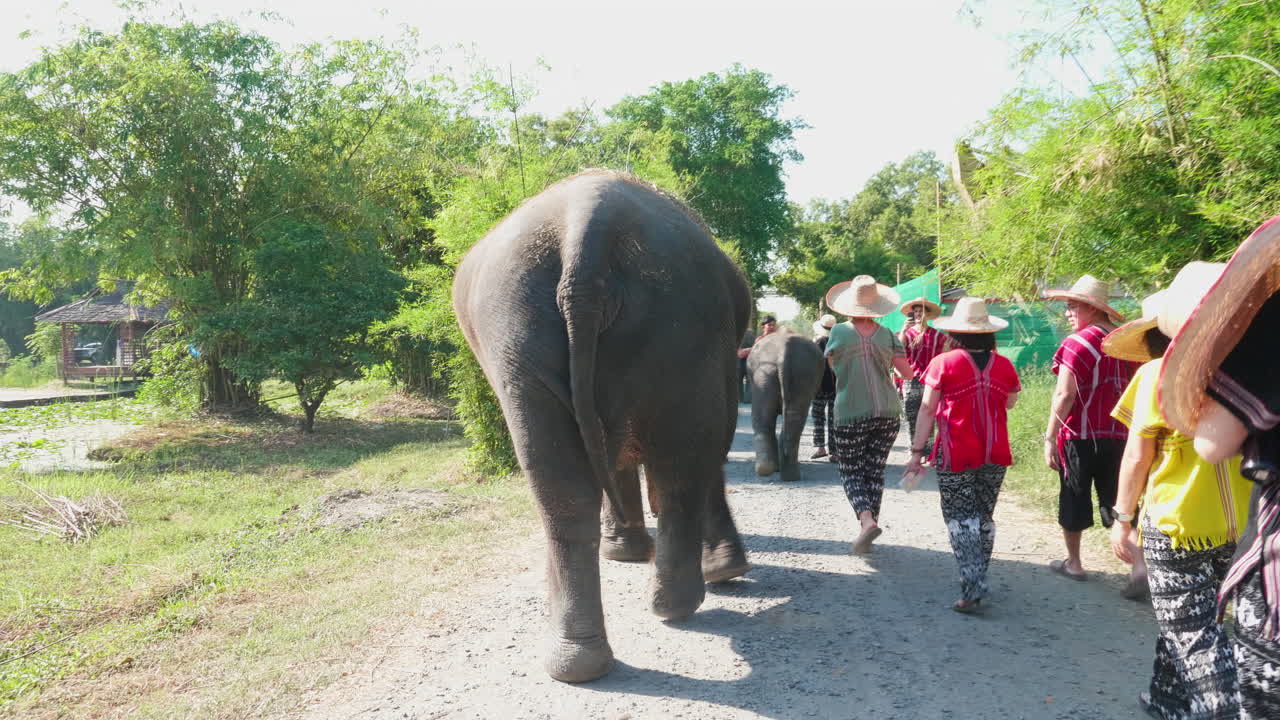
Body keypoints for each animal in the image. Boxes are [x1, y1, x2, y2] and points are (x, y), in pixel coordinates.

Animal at [452, 170, 751, 683]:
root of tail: (586, 226)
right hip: (675, 327)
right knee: (682, 469)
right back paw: (676, 604)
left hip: (523, 334)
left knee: (565, 489)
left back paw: (580, 661)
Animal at [747, 330, 824, 483]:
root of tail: (783, 351)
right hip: (790, 373)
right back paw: (777, 472)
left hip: (773, 374)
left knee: (766, 420)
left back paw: (778, 472)